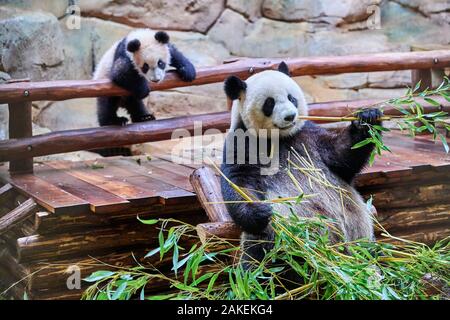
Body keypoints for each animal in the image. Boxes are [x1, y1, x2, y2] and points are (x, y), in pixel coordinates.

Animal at [220, 62, 382, 268]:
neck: (280, 138)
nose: (290, 116)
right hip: (276, 237)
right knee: (259, 256)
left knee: (369, 250)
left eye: (292, 98)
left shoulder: (308, 136)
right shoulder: (243, 143)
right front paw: (259, 211)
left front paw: (368, 118)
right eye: (269, 103)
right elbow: (239, 182)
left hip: (360, 230)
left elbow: (342, 156)